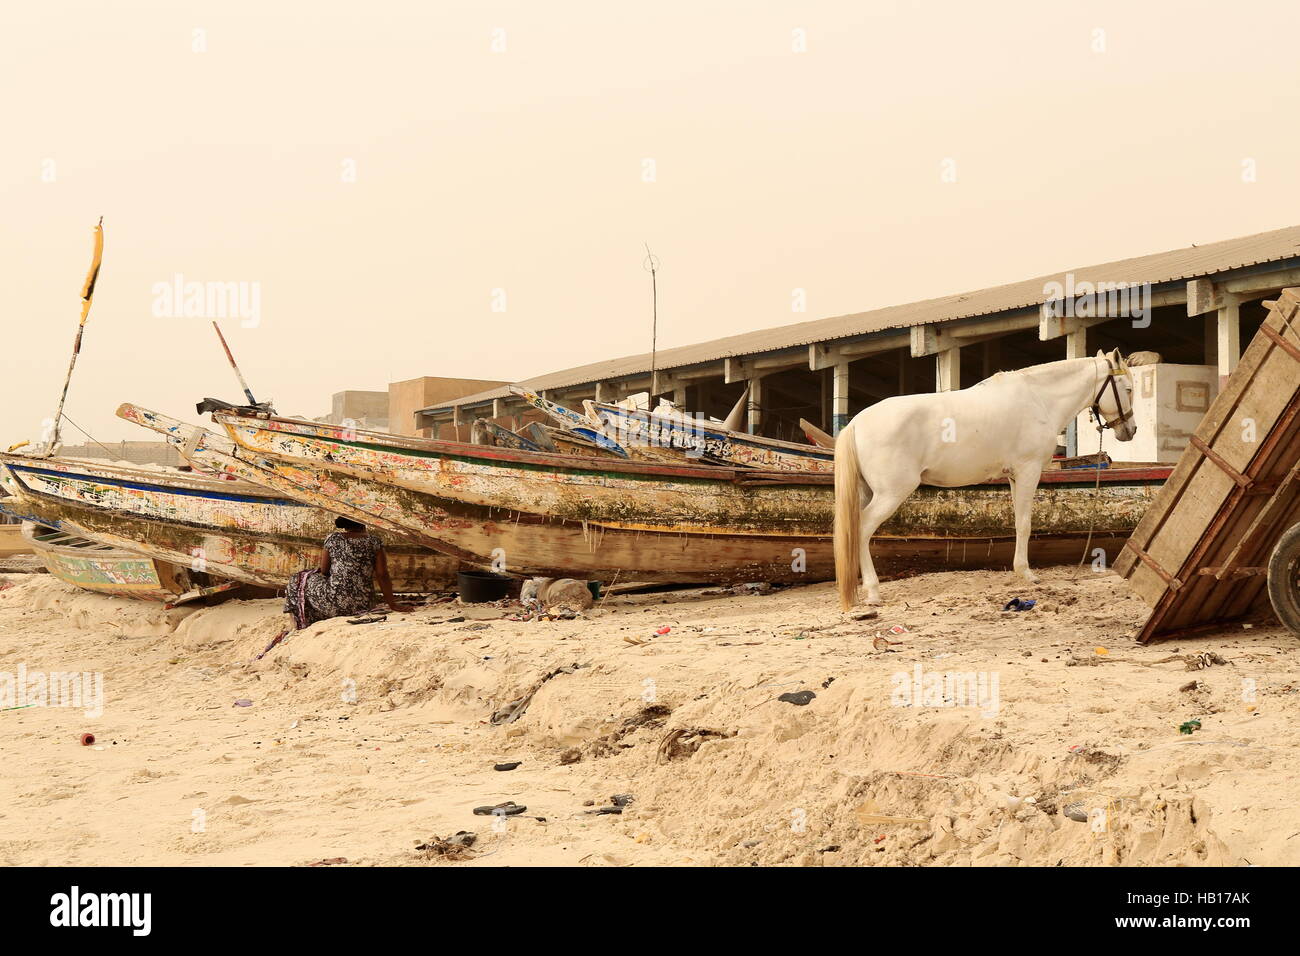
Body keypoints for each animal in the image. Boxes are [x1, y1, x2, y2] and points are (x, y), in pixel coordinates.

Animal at [837, 348, 1133, 608]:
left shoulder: (1014, 476)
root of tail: (856, 423)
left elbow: (1018, 523)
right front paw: (1026, 574)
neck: (1038, 398)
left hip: (867, 492)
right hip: (891, 493)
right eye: (1129, 389)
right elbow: (1025, 524)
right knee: (863, 529)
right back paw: (874, 591)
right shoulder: (1028, 471)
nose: (1131, 430)